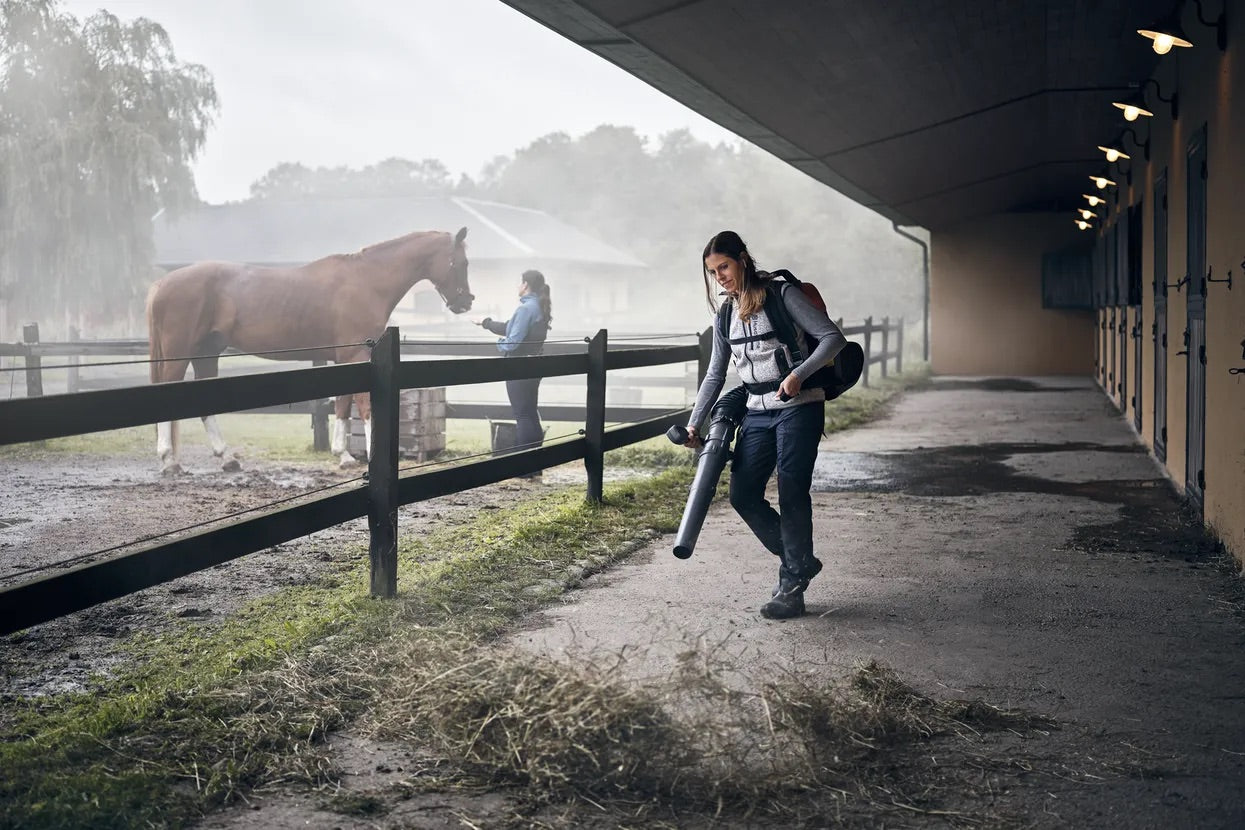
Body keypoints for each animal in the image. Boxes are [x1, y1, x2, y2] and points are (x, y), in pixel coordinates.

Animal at [145, 227, 473, 472]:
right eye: (463, 263)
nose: (466, 302)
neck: (367, 281)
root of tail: (161, 284)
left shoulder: (346, 359)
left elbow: (343, 405)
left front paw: (343, 455)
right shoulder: (356, 355)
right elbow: (364, 405)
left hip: (207, 353)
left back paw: (226, 458)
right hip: (180, 354)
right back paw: (169, 460)